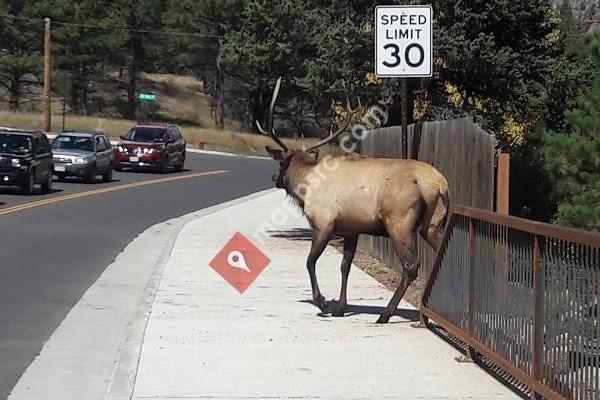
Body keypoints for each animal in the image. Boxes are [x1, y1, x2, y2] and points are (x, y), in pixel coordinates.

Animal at [260, 79, 448, 324]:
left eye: (281, 164)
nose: (275, 178)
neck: (306, 186)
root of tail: (439, 184)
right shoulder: (351, 229)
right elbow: (345, 266)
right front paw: (340, 307)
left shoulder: (324, 223)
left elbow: (310, 261)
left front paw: (323, 303)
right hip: (432, 224)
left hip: (400, 222)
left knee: (411, 266)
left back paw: (385, 314)